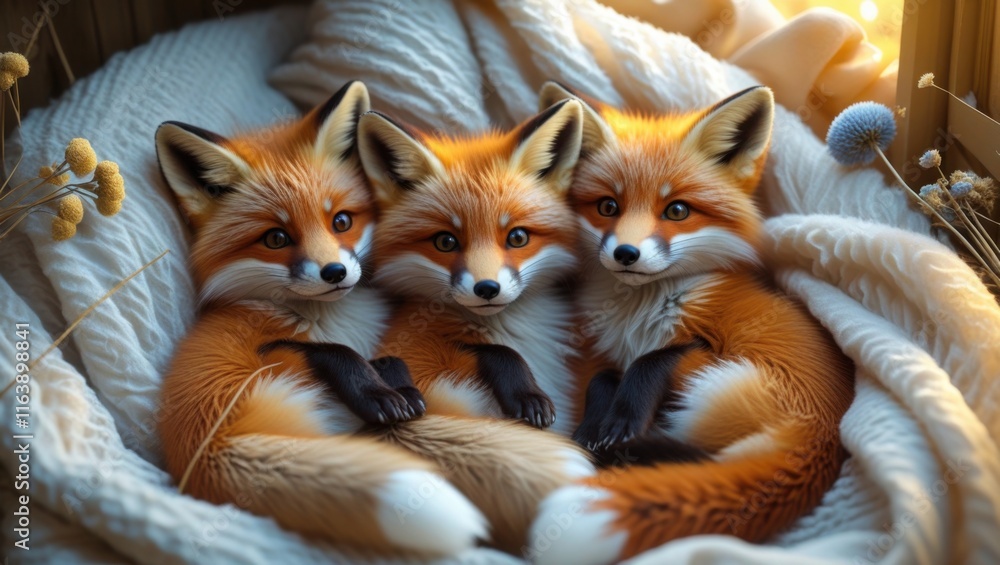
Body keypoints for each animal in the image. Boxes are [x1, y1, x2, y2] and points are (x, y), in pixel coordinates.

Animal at [354, 100, 596, 551]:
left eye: (517, 237)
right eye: (445, 241)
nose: (487, 289)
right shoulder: (415, 365)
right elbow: (492, 352)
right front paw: (526, 394)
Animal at [526, 83, 856, 564]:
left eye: (677, 211)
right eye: (608, 206)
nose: (625, 254)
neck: (638, 318)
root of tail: (826, 440)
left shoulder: (702, 344)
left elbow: (650, 361)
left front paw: (617, 425)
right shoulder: (606, 350)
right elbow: (603, 376)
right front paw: (591, 429)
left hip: (718, 385)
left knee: (705, 457)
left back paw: (633, 451)